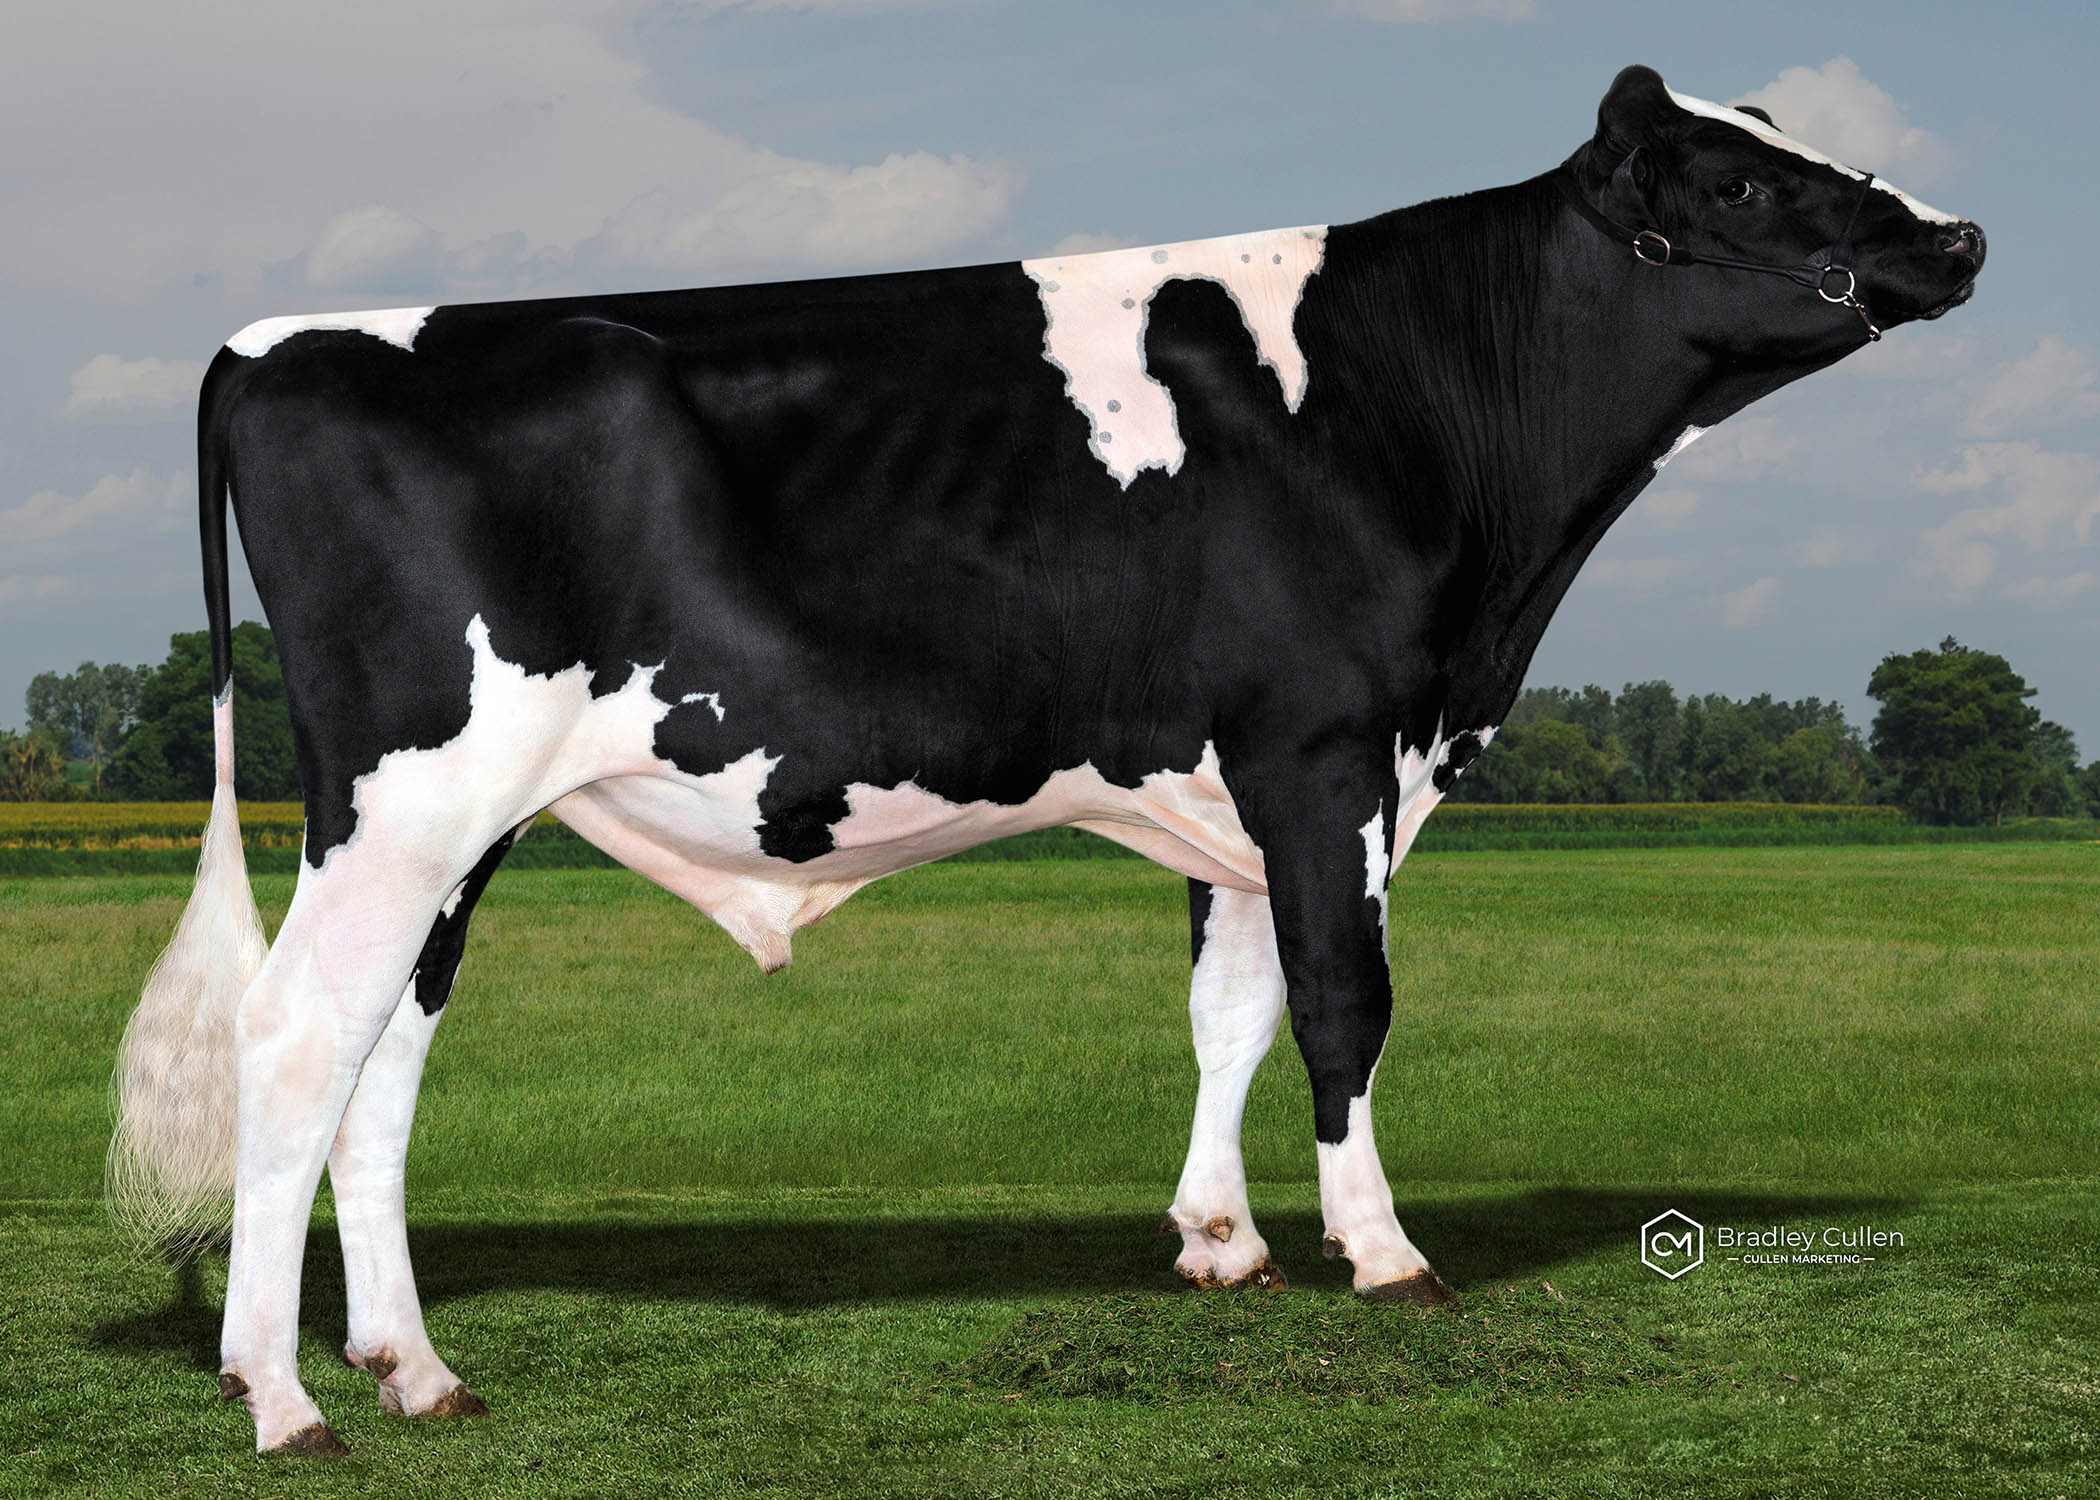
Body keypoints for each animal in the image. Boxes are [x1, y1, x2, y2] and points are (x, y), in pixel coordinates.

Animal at [109, 65, 1982, 1454]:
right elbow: (1345, 1002)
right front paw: (1383, 1254)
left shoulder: (1238, 784)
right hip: (408, 793)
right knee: (294, 1032)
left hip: (452, 826)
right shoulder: (1328, 748)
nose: (1959, 235)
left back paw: (412, 1370)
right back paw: (279, 1395)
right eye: (1738, 186)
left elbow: (1231, 1005)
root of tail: (273, 341)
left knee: (383, 1055)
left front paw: (1224, 1245)